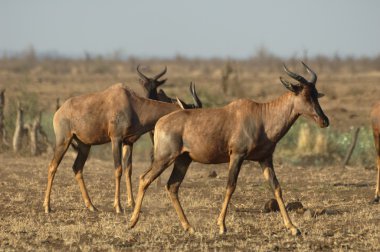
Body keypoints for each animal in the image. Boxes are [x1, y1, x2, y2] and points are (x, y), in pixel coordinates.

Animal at [42, 80, 202, 213]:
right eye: (191, 111)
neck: (131, 103)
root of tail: (59, 111)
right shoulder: (116, 139)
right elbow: (118, 169)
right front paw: (118, 207)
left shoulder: (127, 142)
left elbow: (128, 169)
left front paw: (132, 204)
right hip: (63, 141)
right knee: (52, 166)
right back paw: (47, 207)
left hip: (84, 146)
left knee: (77, 168)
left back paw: (91, 206)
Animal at [129, 62, 328, 235]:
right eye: (304, 95)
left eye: (316, 93)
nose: (324, 120)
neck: (262, 116)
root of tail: (160, 123)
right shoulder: (237, 156)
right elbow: (230, 186)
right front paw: (222, 226)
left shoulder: (265, 159)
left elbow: (276, 187)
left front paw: (293, 228)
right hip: (165, 158)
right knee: (145, 179)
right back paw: (132, 222)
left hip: (183, 159)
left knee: (172, 186)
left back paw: (189, 227)